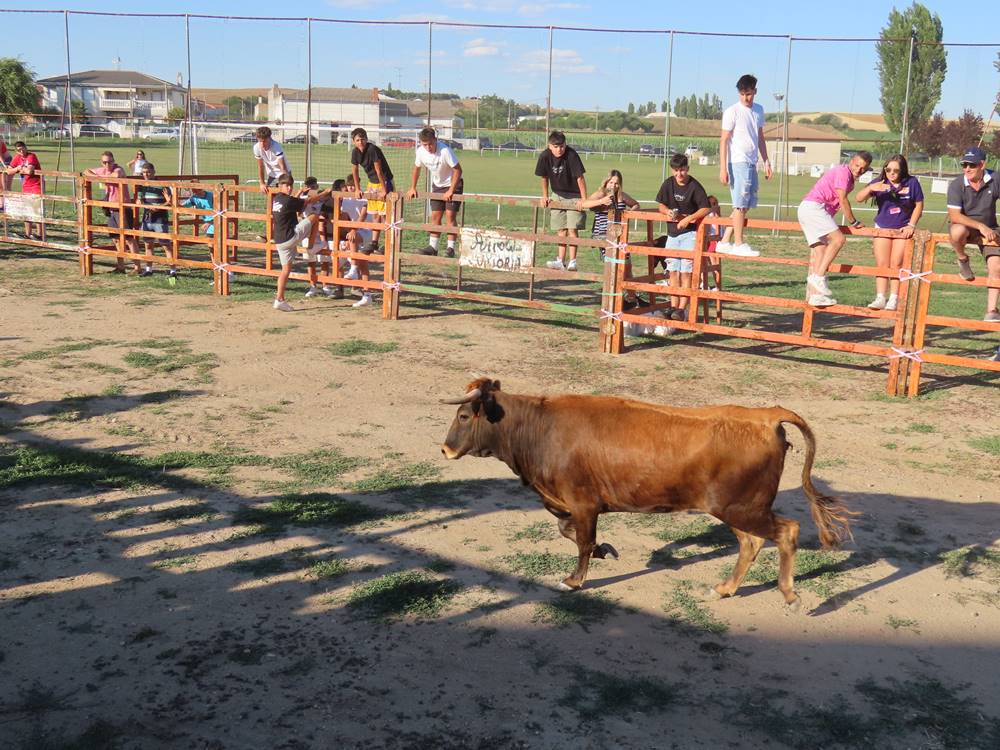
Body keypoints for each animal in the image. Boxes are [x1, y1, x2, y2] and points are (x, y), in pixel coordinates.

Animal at [442, 378, 856, 608]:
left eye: (463, 416)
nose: (445, 450)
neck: (540, 429)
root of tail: (766, 416)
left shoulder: (583, 502)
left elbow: (580, 540)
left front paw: (574, 579)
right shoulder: (571, 504)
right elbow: (571, 532)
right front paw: (605, 550)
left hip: (742, 507)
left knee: (786, 532)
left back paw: (789, 595)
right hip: (738, 509)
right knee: (750, 543)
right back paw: (724, 589)